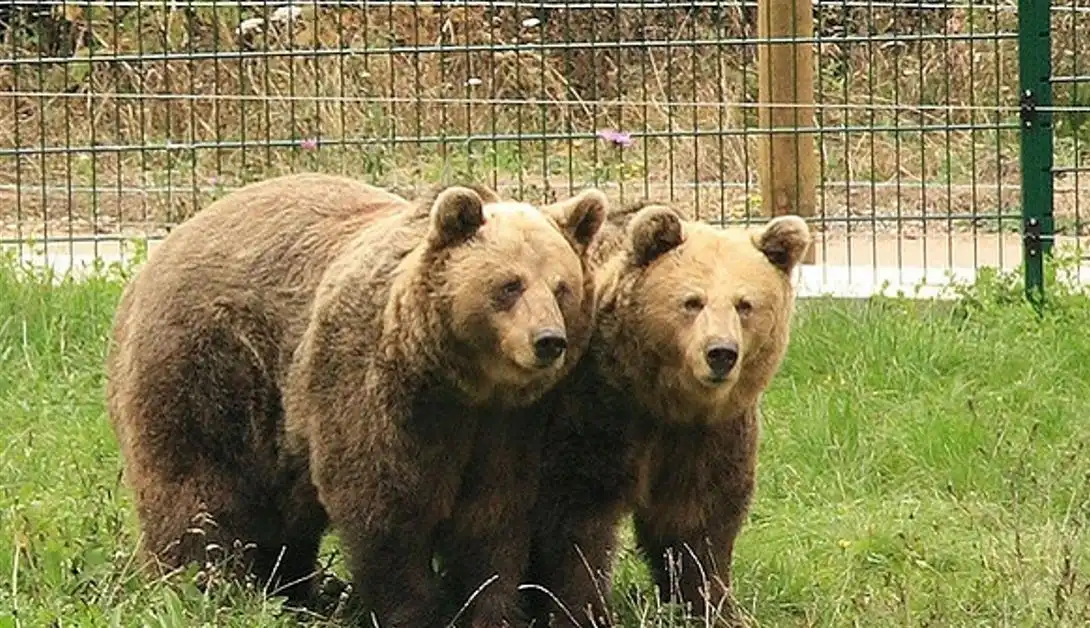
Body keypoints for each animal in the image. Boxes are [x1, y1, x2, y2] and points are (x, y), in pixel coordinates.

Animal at [104, 171, 608, 627]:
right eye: (509, 285)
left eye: (562, 287)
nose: (548, 341)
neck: (462, 383)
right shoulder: (376, 390)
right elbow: (385, 509)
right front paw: (413, 611)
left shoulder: (507, 427)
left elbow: (492, 520)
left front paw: (492, 610)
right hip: (204, 369)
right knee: (194, 490)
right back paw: (206, 585)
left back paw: (288, 589)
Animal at [521, 202, 812, 628]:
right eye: (692, 301)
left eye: (745, 304)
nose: (721, 352)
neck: (663, 401)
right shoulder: (595, 414)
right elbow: (576, 521)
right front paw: (585, 610)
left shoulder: (707, 435)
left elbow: (698, 521)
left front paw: (713, 605)